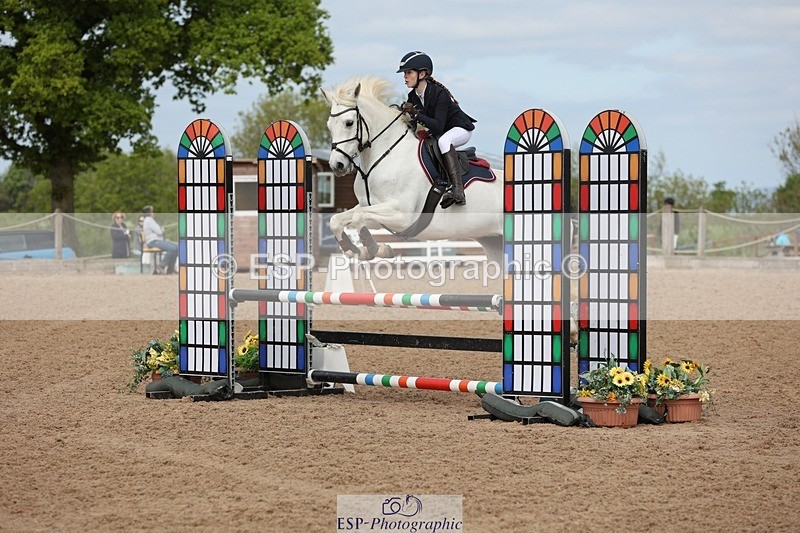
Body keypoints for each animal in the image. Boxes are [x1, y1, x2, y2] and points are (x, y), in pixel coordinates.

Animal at [321, 76, 504, 264]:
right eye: (329, 125)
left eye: (349, 123)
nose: (337, 165)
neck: (385, 155)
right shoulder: (373, 210)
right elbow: (338, 220)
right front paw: (356, 251)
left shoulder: (401, 214)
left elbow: (358, 217)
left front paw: (377, 250)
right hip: (493, 243)